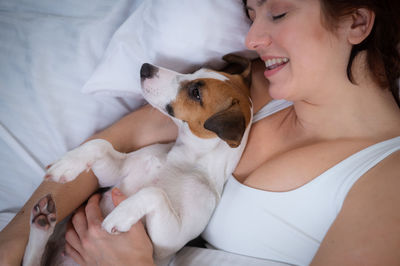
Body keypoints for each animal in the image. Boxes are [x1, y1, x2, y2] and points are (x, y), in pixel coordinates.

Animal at [22, 54, 253, 266]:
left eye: (196, 93)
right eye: (197, 71)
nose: (145, 68)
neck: (185, 161)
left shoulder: (166, 244)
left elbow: (154, 192)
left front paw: (122, 213)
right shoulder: (114, 173)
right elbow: (100, 145)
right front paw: (69, 163)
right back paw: (41, 226)